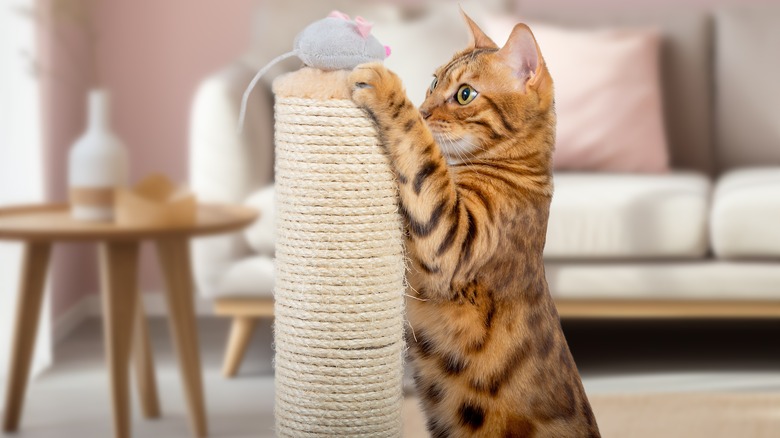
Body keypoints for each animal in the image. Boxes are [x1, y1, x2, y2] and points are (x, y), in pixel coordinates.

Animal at [350, 10, 600, 438]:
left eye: (465, 94)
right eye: (434, 82)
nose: (425, 108)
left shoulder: (452, 239)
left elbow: (421, 151)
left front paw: (387, 88)